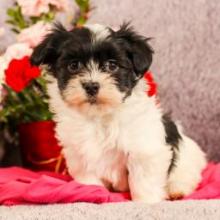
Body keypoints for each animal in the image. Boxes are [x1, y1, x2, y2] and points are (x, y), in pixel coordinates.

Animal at [30, 23, 206, 203]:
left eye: (112, 66)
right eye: (73, 65)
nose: (91, 86)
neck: (99, 117)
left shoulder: (144, 149)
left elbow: (143, 180)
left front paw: (146, 201)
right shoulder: (79, 156)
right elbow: (89, 178)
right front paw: (91, 192)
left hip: (186, 160)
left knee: (184, 175)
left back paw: (176, 190)